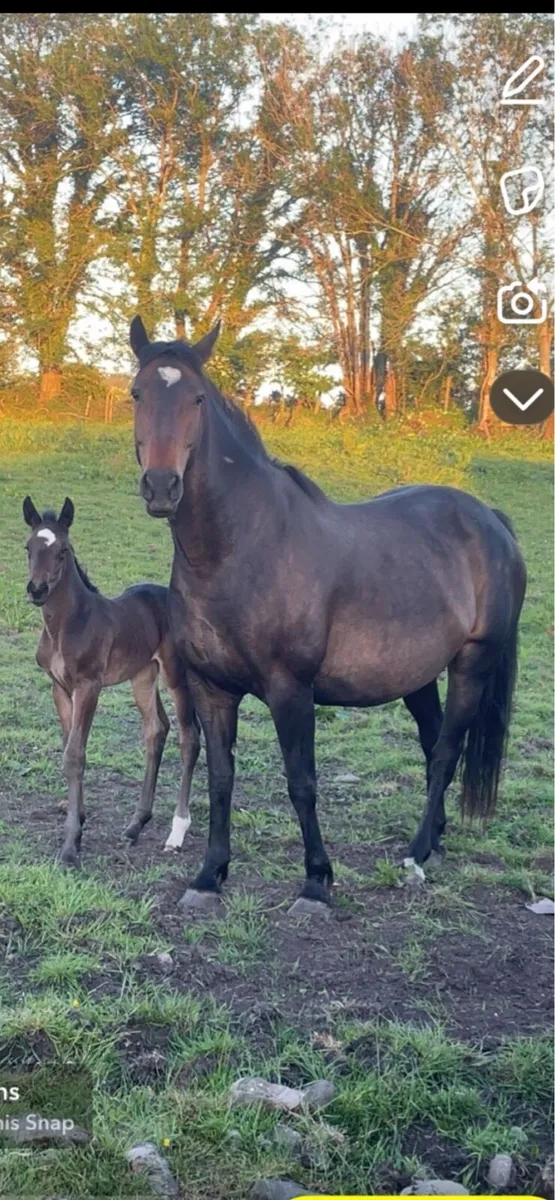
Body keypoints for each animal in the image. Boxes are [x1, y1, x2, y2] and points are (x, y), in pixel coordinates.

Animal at [23, 495, 200, 867]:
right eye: (28, 548)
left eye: (63, 550)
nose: (37, 589)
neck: (66, 625)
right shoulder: (59, 688)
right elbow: (69, 746)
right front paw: (79, 820)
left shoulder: (88, 685)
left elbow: (76, 753)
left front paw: (70, 845)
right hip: (143, 675)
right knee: (156, 729)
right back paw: (135, 825)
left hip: (176, 675)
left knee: (189, 738)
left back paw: (176, 832)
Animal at [129, 315, 526, 916]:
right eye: (136, 394)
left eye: (197, 398)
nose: (161, 486)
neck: (241, 548)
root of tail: (491, 520)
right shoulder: (212, 689)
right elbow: (220, 778)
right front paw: (209, 875)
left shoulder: (291, 690)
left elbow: (302, 782)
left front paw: (316, 882)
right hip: (416, 676)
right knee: (433, 743)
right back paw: (433, 842)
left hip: (472, 665)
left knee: (445, 752)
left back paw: (416, 856)